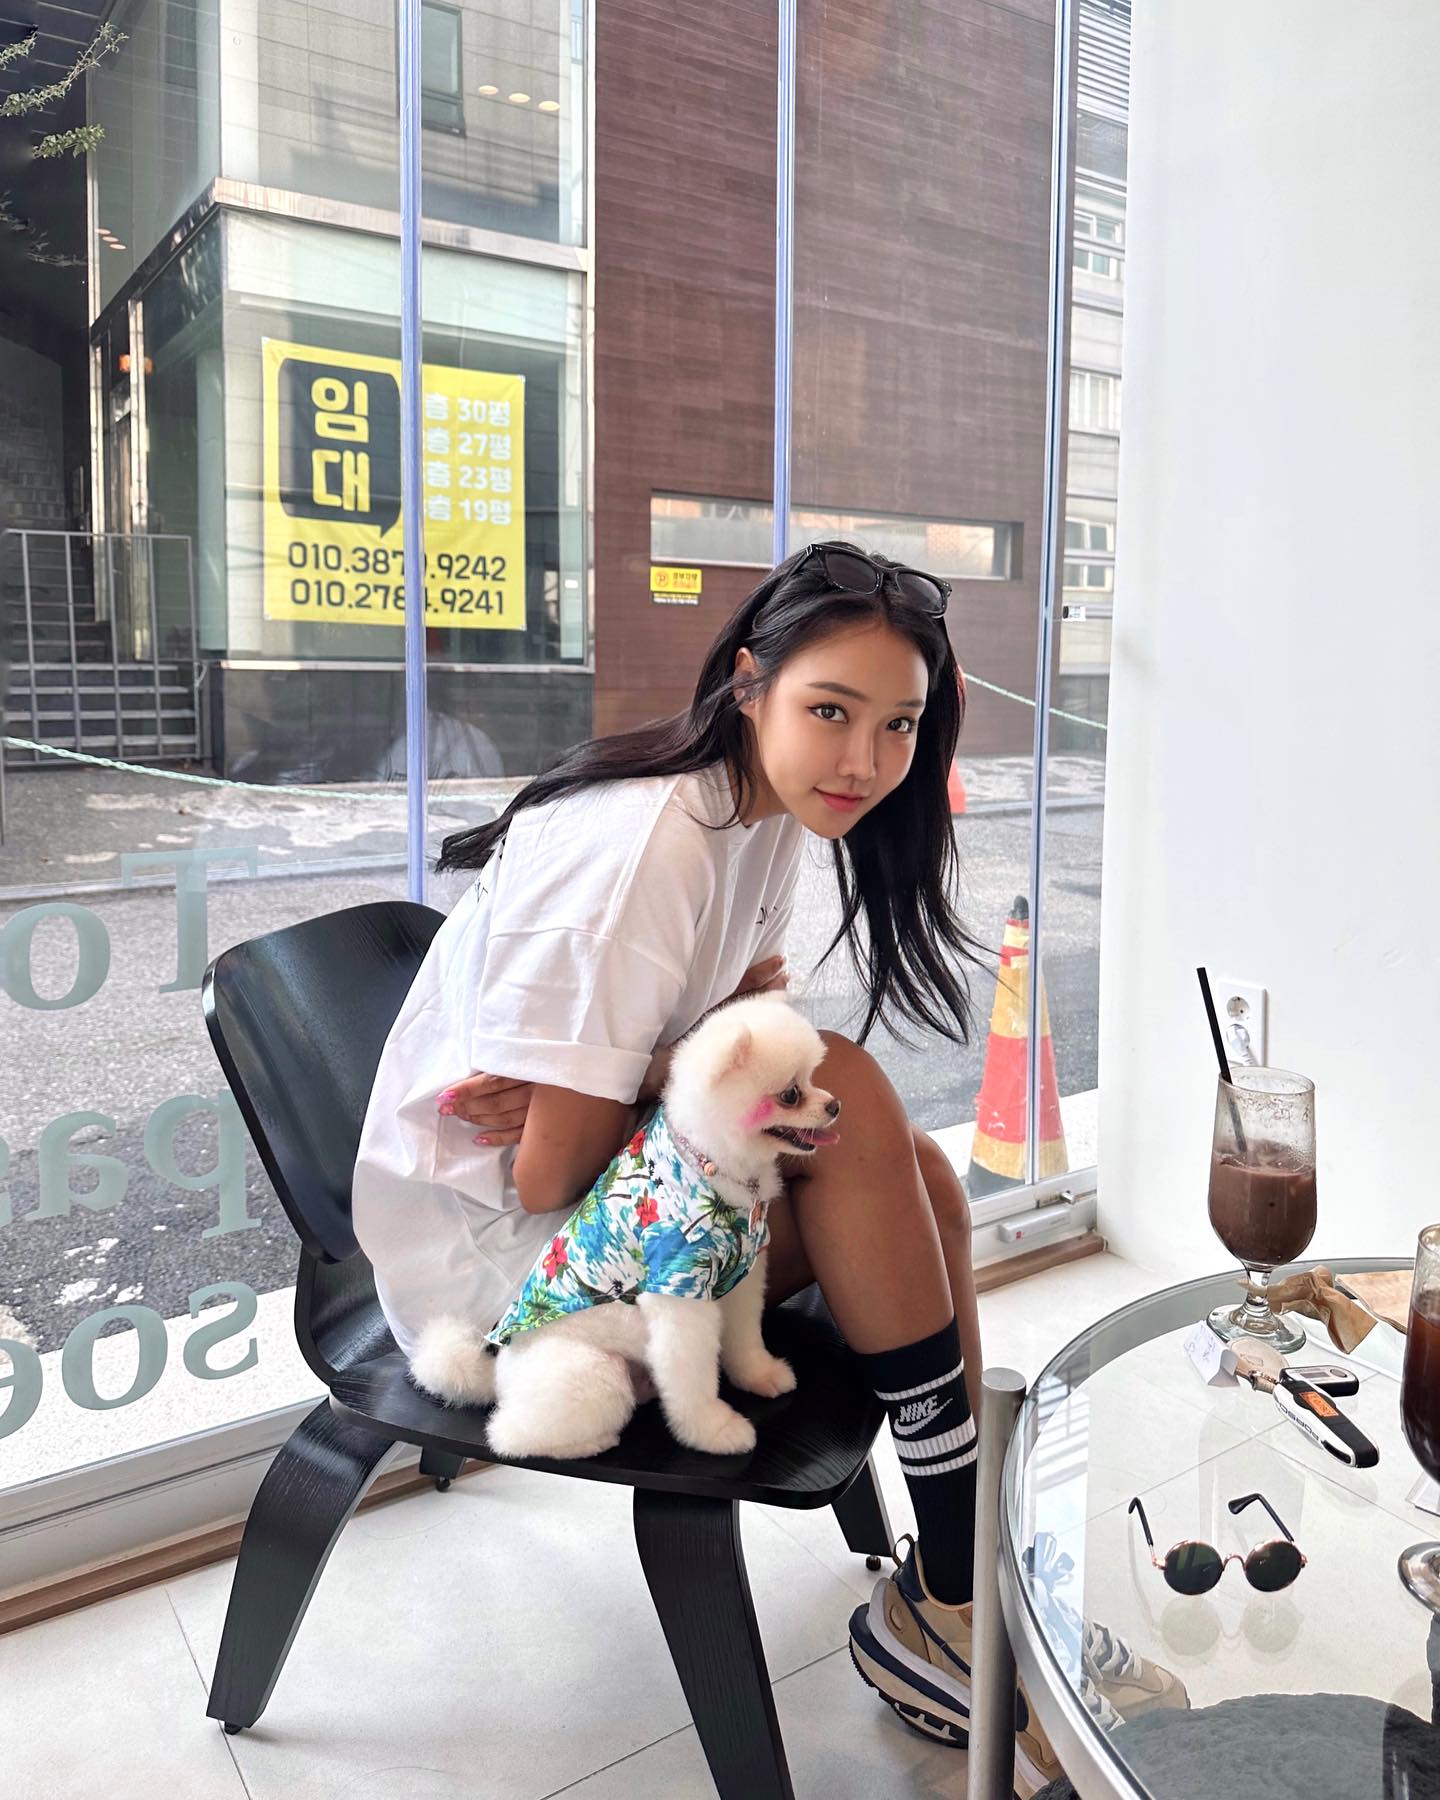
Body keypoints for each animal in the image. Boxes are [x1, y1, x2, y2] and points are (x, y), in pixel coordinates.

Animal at [408, 995, 839, 1459]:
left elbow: (745, 1338)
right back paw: (590, 1441)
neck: (711, 1163)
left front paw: (759, 1375)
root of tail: (498, 1375)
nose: (835, 1105)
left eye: (812, 1078)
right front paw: (714, 1431)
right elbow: (692, 1379)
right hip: (595, 1374)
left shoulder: (740, 1275)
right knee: (510, 1434)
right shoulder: (680, 1293)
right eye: (790, 1094)